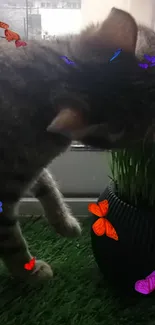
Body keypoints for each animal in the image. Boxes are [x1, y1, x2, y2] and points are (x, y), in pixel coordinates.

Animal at [0, 6, 155, 280]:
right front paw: (27, 271)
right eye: (144, 128)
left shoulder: (30, 167)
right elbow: (11, 239)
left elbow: (47, 185)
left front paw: (65, 223)